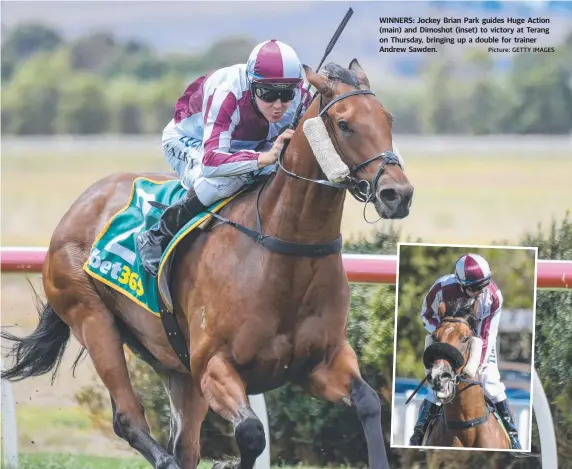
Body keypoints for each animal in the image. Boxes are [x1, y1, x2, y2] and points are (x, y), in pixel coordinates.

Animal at [0, 59, 414, 468]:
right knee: (130, 420)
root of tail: (81, 204)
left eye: (389, 119)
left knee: (183, 444)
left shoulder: (320, 362)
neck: (284, 249)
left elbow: (368, 402)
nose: (398, 194)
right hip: (92, 319)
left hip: (173, 364)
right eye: (344, 124)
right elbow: (251, 433)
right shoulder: (215, 365)